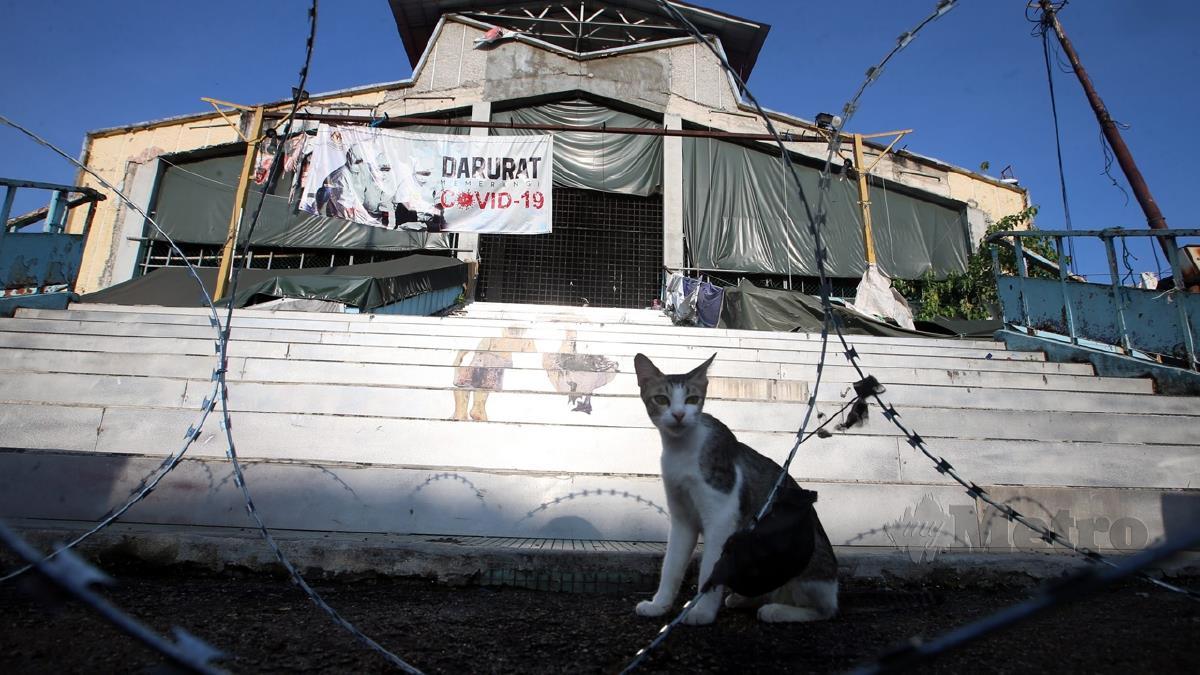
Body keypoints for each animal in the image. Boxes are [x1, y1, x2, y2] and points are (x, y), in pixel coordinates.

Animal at [633, 353, 840, 624]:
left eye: (692, 399)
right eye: (661, 399)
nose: (678, 414)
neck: (681, 449)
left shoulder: (721, 517)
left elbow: (709, 570)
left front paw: (702, 612)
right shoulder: (682, 518)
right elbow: (671, 566)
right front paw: (659, 605)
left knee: (825, 610)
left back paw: (777, 610)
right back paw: (743, 599)